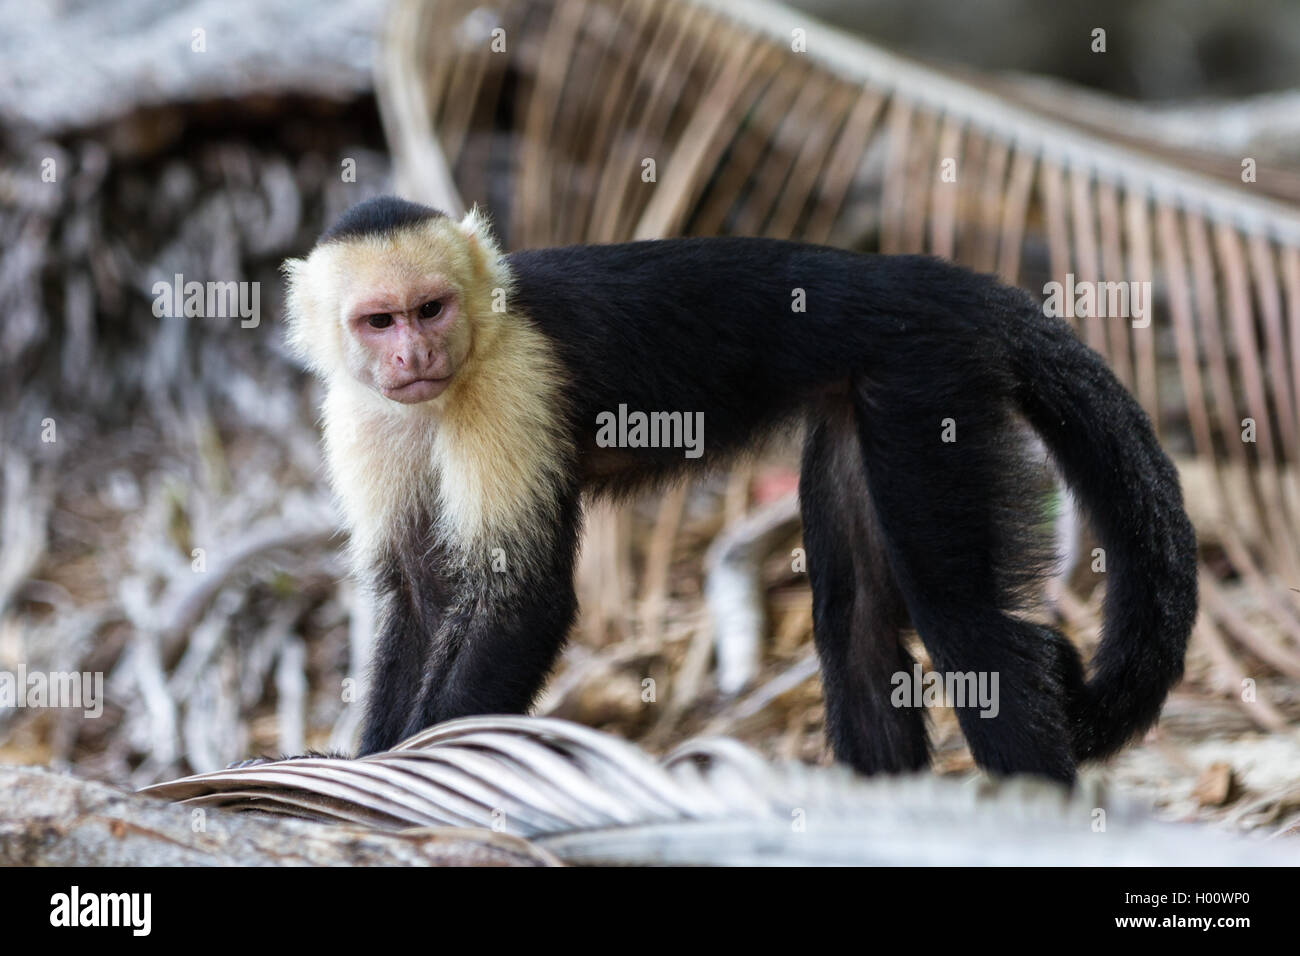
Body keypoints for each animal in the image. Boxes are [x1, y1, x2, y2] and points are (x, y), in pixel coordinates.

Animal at [277, 195, 1197, 784]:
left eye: (430, 308)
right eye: (379, 322)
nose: (414, 355)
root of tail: (922, 279)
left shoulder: (511, 379)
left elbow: (522, 597)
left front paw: (409, 765)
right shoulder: (360, 414)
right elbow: (418, 591)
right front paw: (365, 765)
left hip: (931, 379)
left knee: (968, 628)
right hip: (868, 393)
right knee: (854, 618)